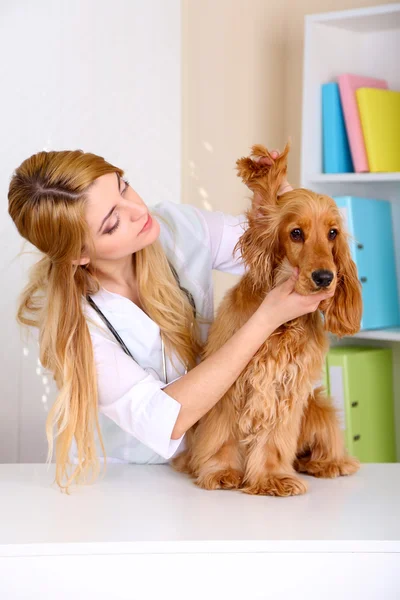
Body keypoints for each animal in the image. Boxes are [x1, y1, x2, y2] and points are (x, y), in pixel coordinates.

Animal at [173, 143, 362, 494]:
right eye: (296, 233)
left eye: (333, 233)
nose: (325, 278)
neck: (282, 327)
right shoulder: (229, 385)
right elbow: (222, 434)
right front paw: (222, 471)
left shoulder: (288, 388)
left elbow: (275, 439)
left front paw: (273, 476)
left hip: (317, 405)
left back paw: (327, 463)